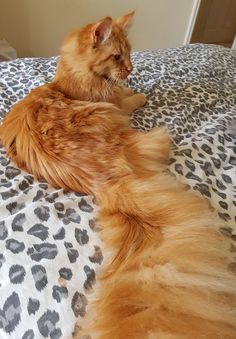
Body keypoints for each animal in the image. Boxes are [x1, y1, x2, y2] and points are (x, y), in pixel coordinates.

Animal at [0, 11, 236, 339]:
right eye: (116, 56)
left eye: (129, 53)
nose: (131, 69)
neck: (70, 82)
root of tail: (110, 178)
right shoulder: (115, 103)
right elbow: (131, 97)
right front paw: (138, 93)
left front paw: (131, 87)